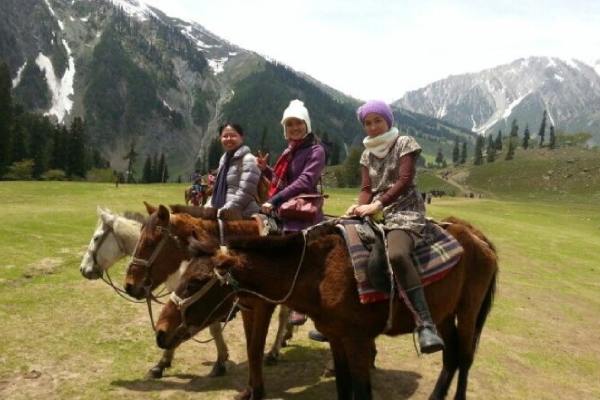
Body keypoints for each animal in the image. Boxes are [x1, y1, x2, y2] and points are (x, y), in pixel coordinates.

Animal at [154, 206, 496, 400]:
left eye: (196, 282)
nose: (160, 331)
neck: (317, 272)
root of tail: (478, 237)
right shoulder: (336, 337)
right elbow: (343, 388)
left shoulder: (357, 341)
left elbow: (361, 391)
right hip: (443, 314)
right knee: (450, 356)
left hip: (468, 311)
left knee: (464, 357)